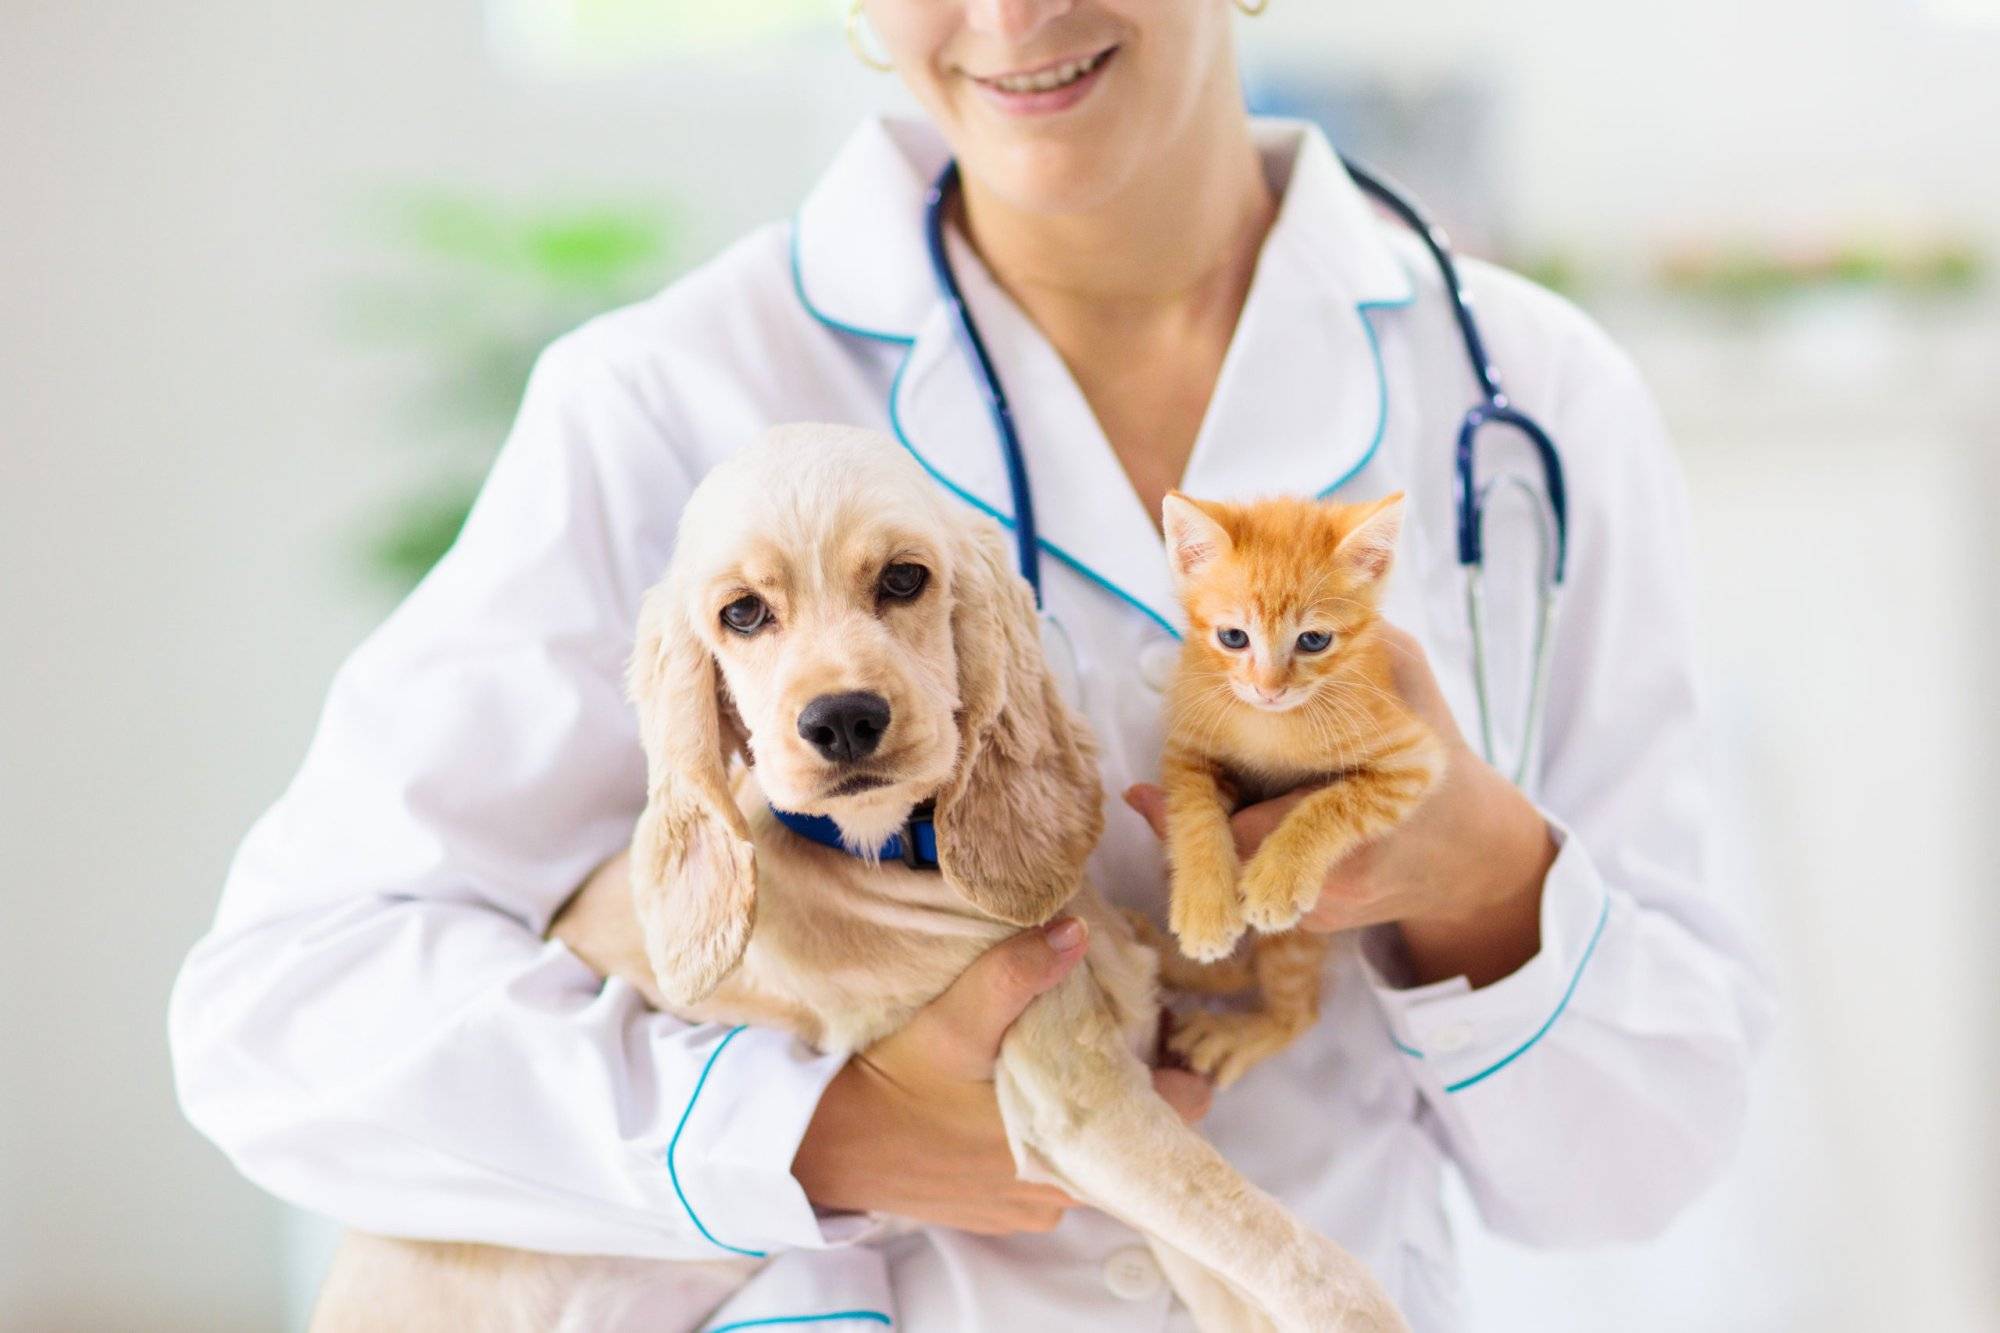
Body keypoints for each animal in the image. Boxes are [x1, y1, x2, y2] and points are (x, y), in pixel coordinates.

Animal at [1152, 492, 1448, 1088]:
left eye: (1313, 640)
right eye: (1233, 637)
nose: (1269, 689)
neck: (1271, 726)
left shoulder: (1413, 758)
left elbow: (1335, 802)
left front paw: (1278, 877)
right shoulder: (1187, 747)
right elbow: (1193, 814)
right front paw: (1205, 907)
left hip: (1298, 941)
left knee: (1297, 1009)